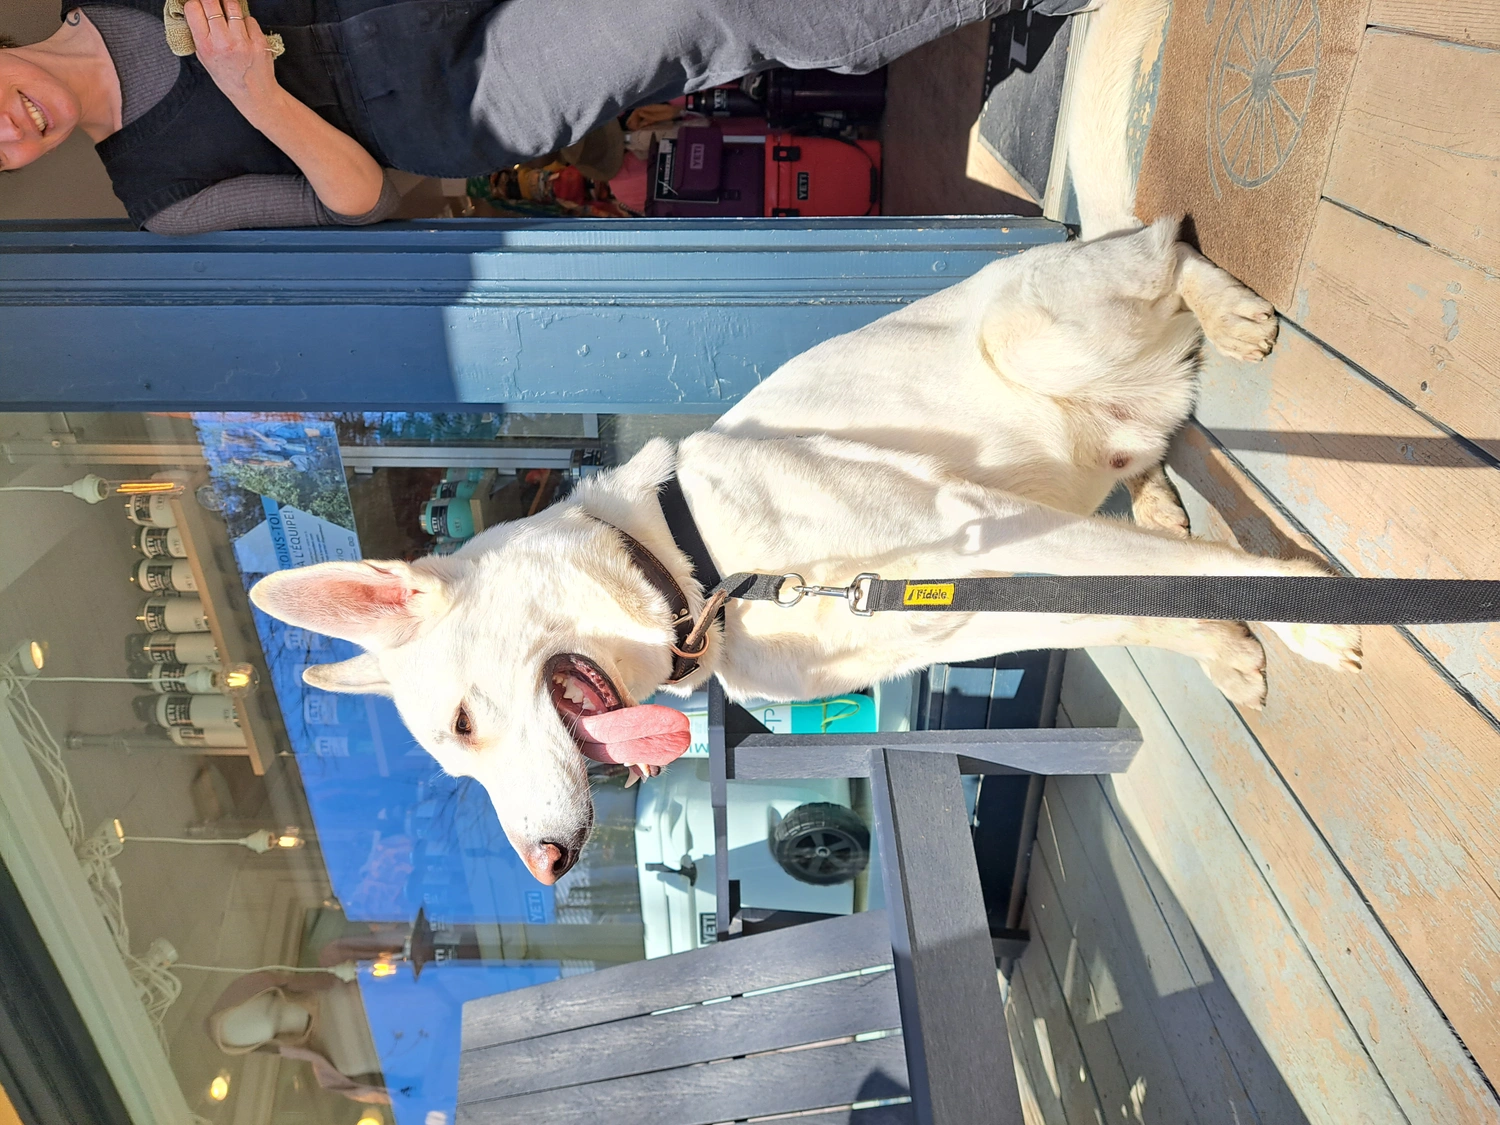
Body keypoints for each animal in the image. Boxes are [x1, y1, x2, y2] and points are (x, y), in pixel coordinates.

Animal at [249, 213, 1362, 885]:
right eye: (457, 758)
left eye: (465, 725)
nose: (546, 867)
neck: (696, 565)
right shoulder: (967, 599)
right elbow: (1143, 608)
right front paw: (1224, 645)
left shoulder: (976, 521)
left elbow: (1195, 583)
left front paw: (1307, 617)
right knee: (1148, 449)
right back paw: (1164, 497)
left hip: (1044, 334)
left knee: (1169, 240)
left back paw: (1232, 310)